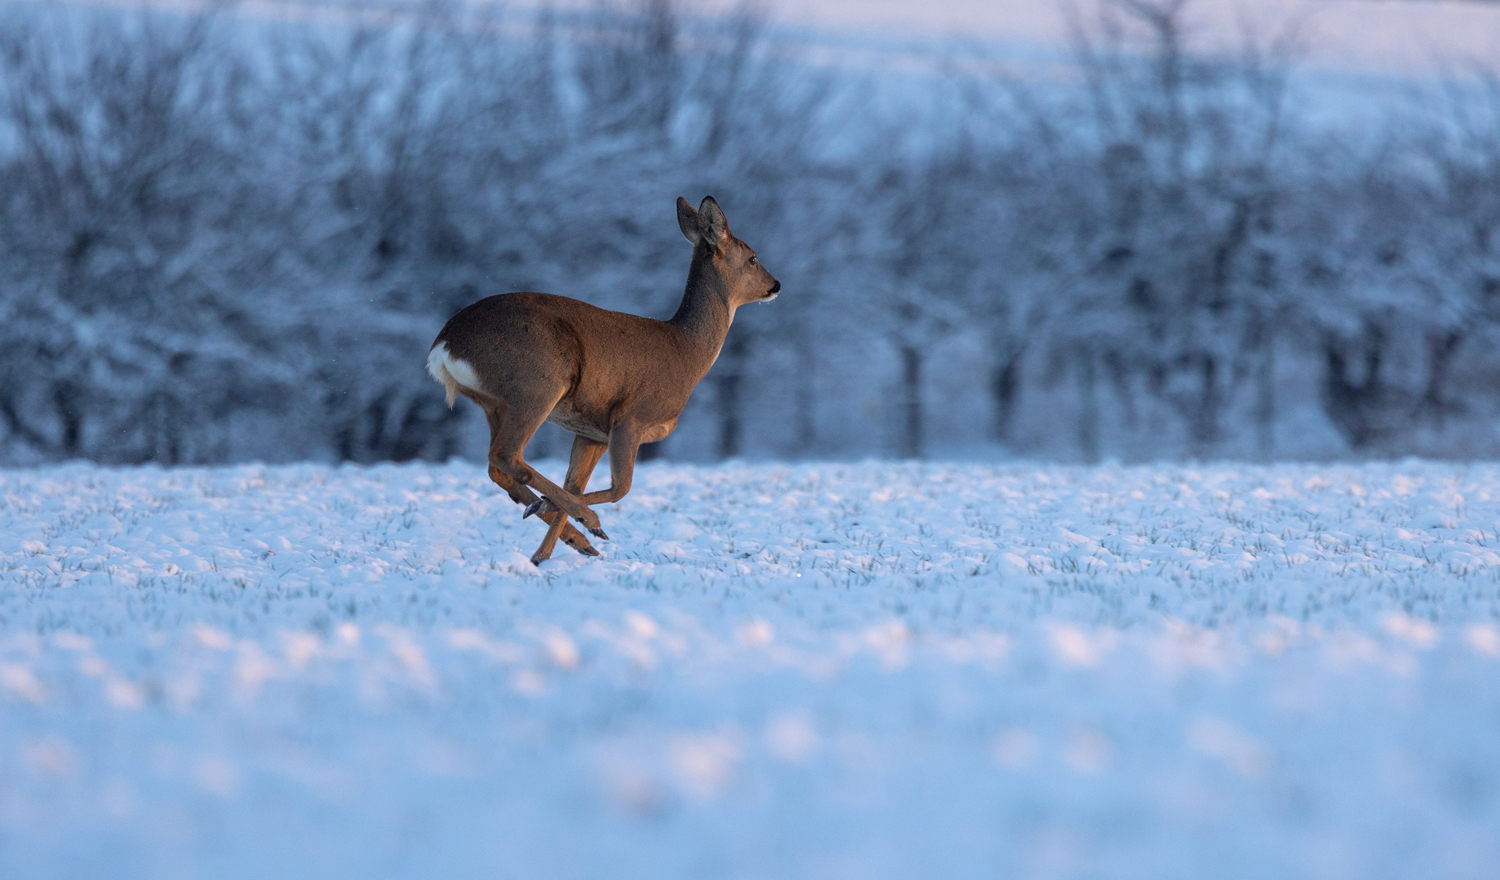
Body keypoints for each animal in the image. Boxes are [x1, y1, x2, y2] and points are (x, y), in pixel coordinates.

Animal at [423, 194, 774, 563]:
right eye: (752, 258)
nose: (775, 285)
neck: (687, 351)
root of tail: (444, 344)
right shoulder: (630, 418)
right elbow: (621, 489)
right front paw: (578, 526)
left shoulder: (592, 431)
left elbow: (574, 483)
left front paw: (543, 555)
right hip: (538, 384)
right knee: (507, 455)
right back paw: (583, 518)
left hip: (495, 403)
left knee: (497, 466)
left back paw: (565, 528)